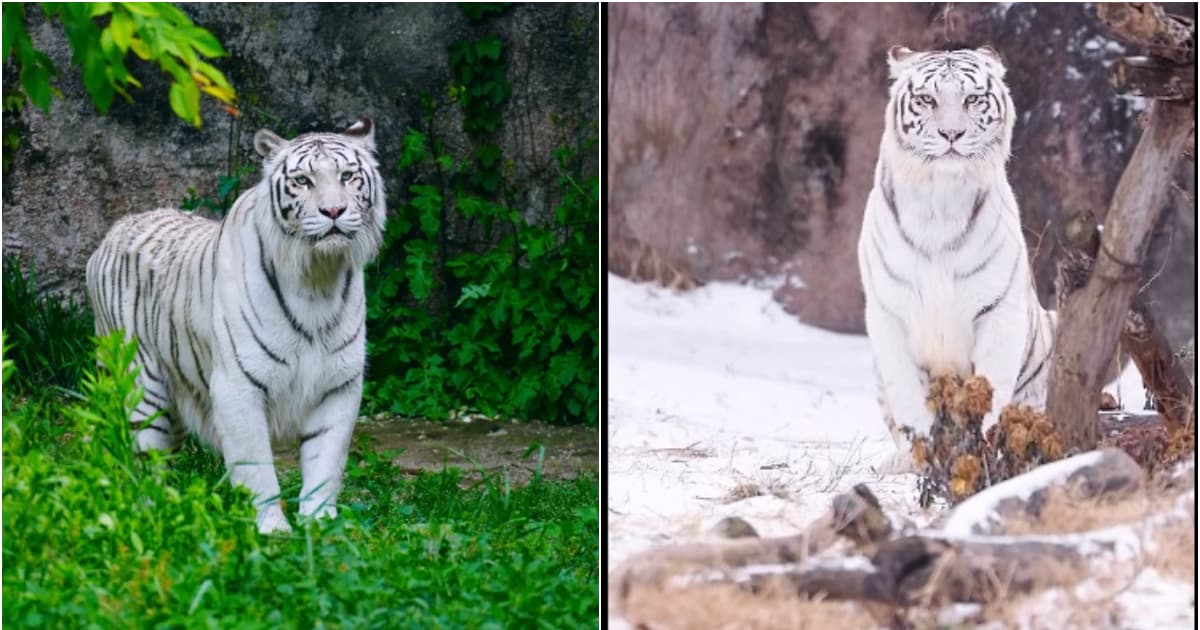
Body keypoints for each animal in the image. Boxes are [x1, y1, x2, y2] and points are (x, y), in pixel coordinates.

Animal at [86, 118, 385, 533]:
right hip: (142, 387)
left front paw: (319, 524)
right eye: (304, 181)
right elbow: (256, 464)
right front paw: (272, 529)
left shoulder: (339, 385)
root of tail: (117, 228)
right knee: (146, 463)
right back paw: (156, 514)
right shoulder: (237, 386)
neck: (317, 276)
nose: (334, 210)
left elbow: (325, 461)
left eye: (347, 176)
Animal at [856, 46, 1054, 473]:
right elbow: (909, 398)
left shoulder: (999, 309)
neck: (940, 200)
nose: (951, 135)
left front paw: (984, 454)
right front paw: (926, 458)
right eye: (927, 99)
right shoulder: (887, 314)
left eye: (972, 99)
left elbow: (991, 389)